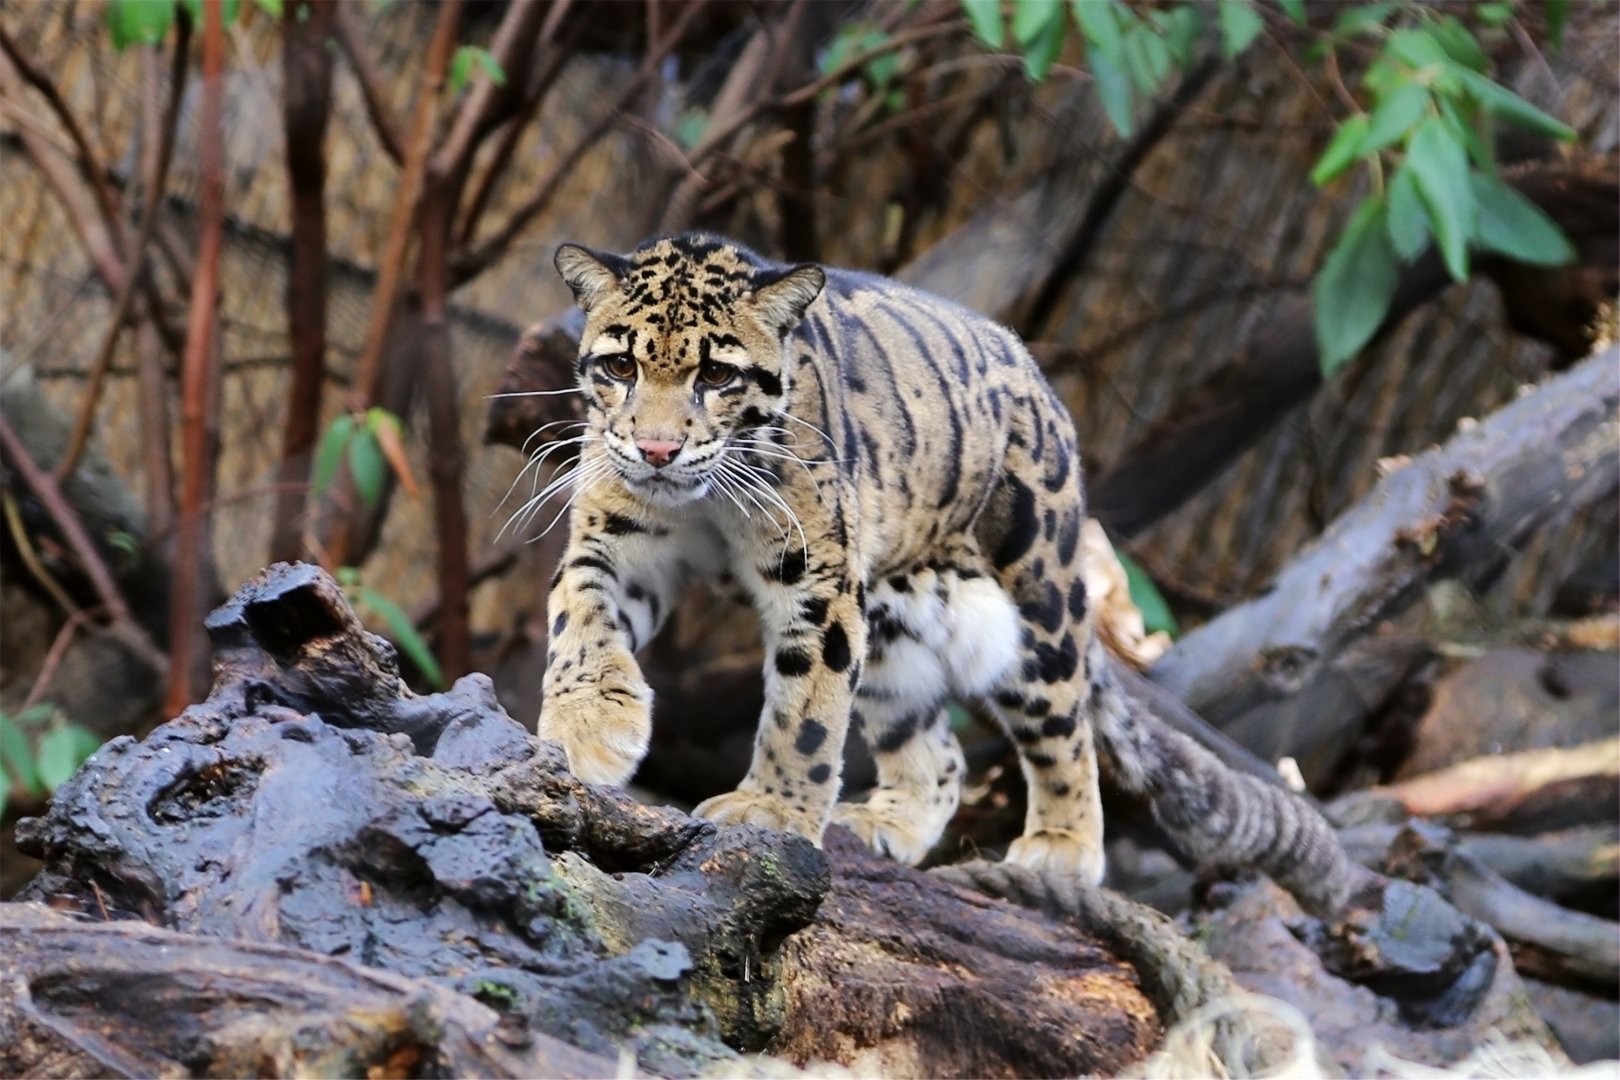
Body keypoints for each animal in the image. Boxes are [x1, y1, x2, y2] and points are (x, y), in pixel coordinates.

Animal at [532, 231, 1149, 883]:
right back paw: (888, 822)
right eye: (621, 366)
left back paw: (1063, 846)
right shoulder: (615, 545)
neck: (707, 503)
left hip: (1037, 600)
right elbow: (581, 619)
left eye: (717, 374)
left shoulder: (817, 581)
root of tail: (1038, 377)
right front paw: (590, 726)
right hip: (893, 630)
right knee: (938, 748)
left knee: (1064, 720)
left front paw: (772, 810)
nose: (656, 450)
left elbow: (807, 711)